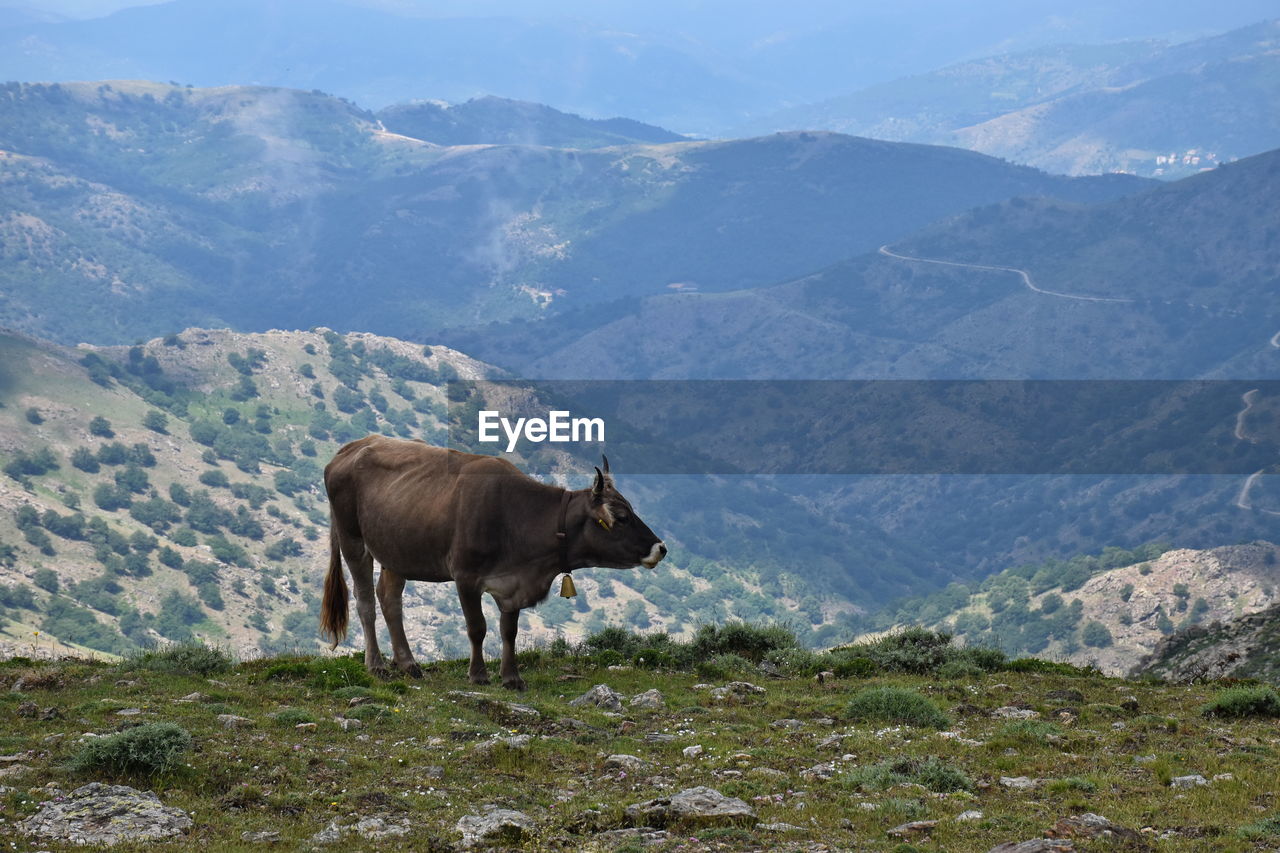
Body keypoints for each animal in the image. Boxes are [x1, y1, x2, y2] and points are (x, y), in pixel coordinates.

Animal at [317, 435, 670, 686]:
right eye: (621, 517)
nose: (661, 548)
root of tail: (353, 446)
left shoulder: (512, 583)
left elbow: (508, 631)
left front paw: (512, 677)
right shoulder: (466, 576)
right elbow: (477, 628)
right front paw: (479, 675)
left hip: (396, 550)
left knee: (390, 599)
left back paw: (409, 664)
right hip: (352, 538)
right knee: (365, 600)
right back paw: (376, 665)